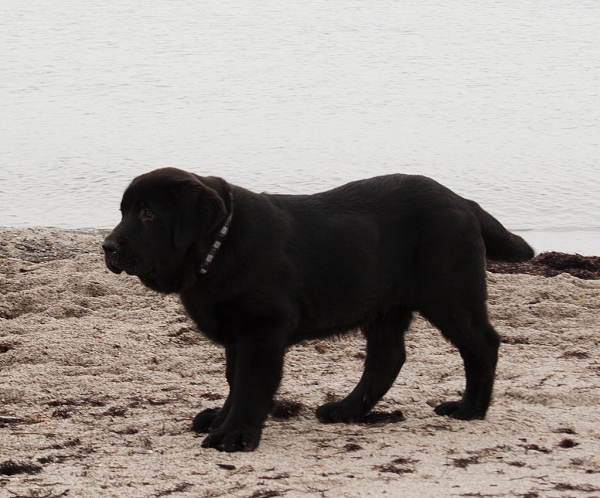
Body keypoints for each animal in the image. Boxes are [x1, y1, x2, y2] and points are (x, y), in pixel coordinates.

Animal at [103, 167, 536, 452]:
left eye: (148, 214)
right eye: (124, 212)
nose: (107, 247)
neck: (217, 249)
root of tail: (463, 202)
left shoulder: (263, 329)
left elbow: (250, 384)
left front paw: (235, 434)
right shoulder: (239, 335)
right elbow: (234, 379)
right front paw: (223, 420)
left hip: (448, 292)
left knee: (481, 345)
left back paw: (470, 408)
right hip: (385, 305)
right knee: (387, 358)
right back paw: (347, 410)